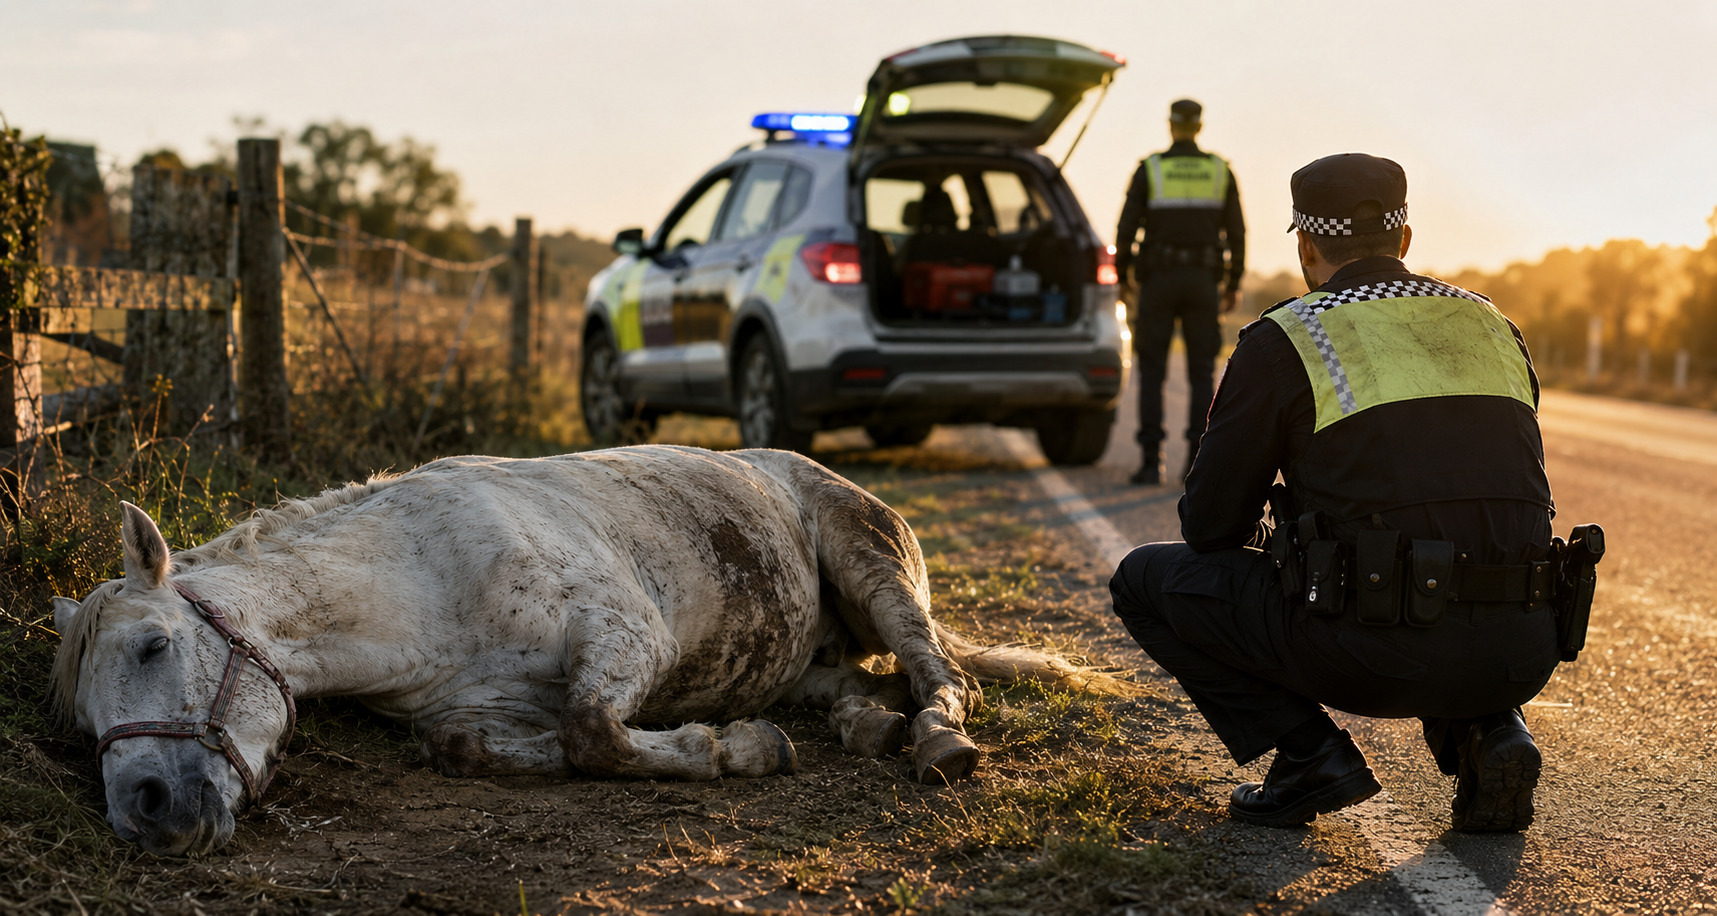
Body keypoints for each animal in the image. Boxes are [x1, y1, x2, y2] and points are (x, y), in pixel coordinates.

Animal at [52, 445, 1115, 856]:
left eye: (153, 645)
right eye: (81, 723)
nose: (143, 812)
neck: (423, 577)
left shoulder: (623, 637)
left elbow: (594, 732)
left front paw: (735, 751)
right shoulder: (466, 712)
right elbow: (478, 747)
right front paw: (734, 741)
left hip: (872, 565)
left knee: (939, 672)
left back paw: (932, 738)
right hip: (814, 653)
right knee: (855, 686)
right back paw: (863, 724)